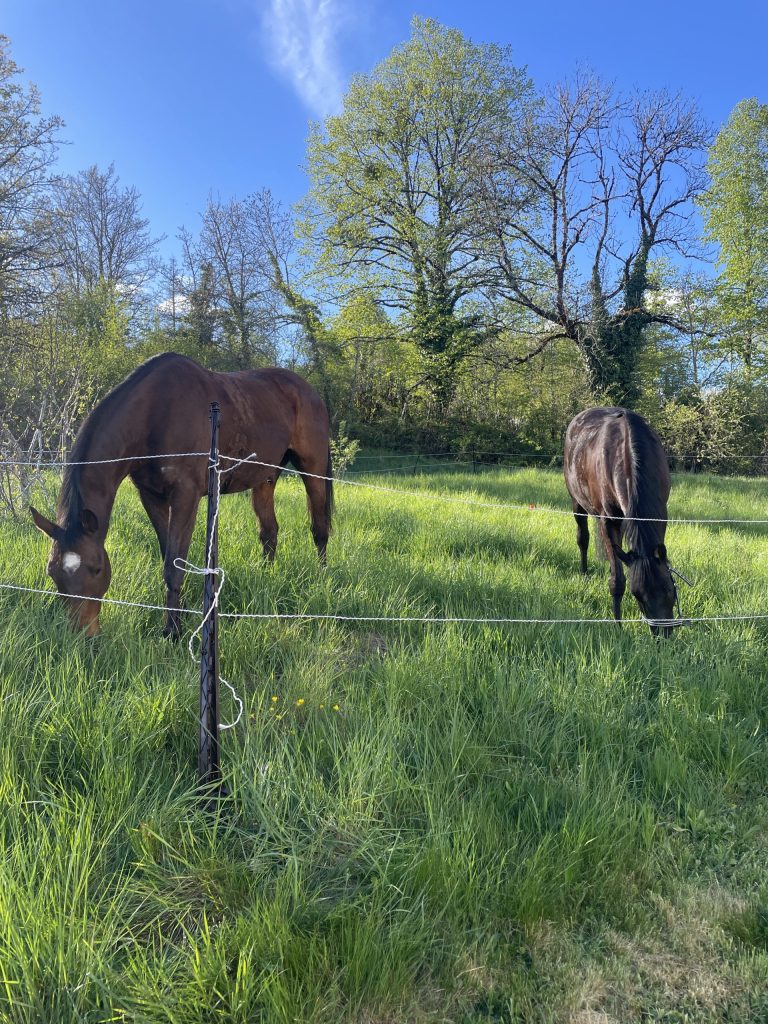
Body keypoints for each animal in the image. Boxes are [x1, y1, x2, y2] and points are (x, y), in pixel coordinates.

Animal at [30, 352, 334, 638]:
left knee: (319, 528)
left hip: (313, 469)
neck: (155, 413)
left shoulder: (185, 495)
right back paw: (266, 578)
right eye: (52, 572)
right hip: (265, 477)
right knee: (269, 532)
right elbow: (169, 555)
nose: (85, 635)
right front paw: (181, 613)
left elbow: (174, 564)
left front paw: (172, 630)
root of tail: (310, 391)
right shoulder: (151, 496)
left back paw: (322, 578)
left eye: (95, 568)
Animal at [563, 407, 677, 637]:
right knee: (583, 539)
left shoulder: (661, 516)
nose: (663, 636)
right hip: (577, 504)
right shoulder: (609, 521)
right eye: (638, 596)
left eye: (669, 589)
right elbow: (617, 581)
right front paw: (618, 628)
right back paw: (584, 573)